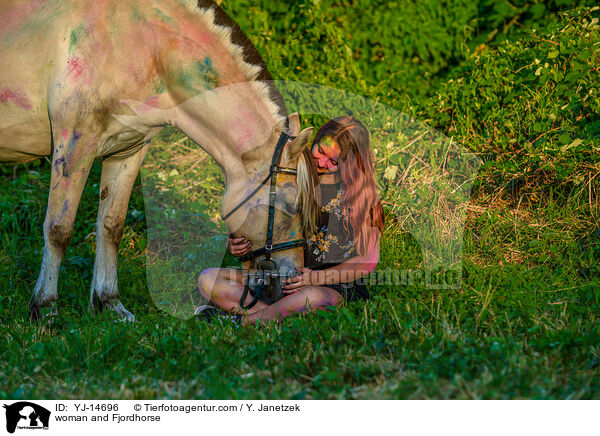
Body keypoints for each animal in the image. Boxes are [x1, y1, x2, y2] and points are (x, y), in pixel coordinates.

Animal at [0, 0, 316, 320]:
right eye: (290, 206)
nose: (290, 282)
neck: (145, 46)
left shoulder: (127, 151)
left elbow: (111, 226)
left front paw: (110, 303)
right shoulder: (75, 143)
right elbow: (58, 229)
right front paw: (45, 308)